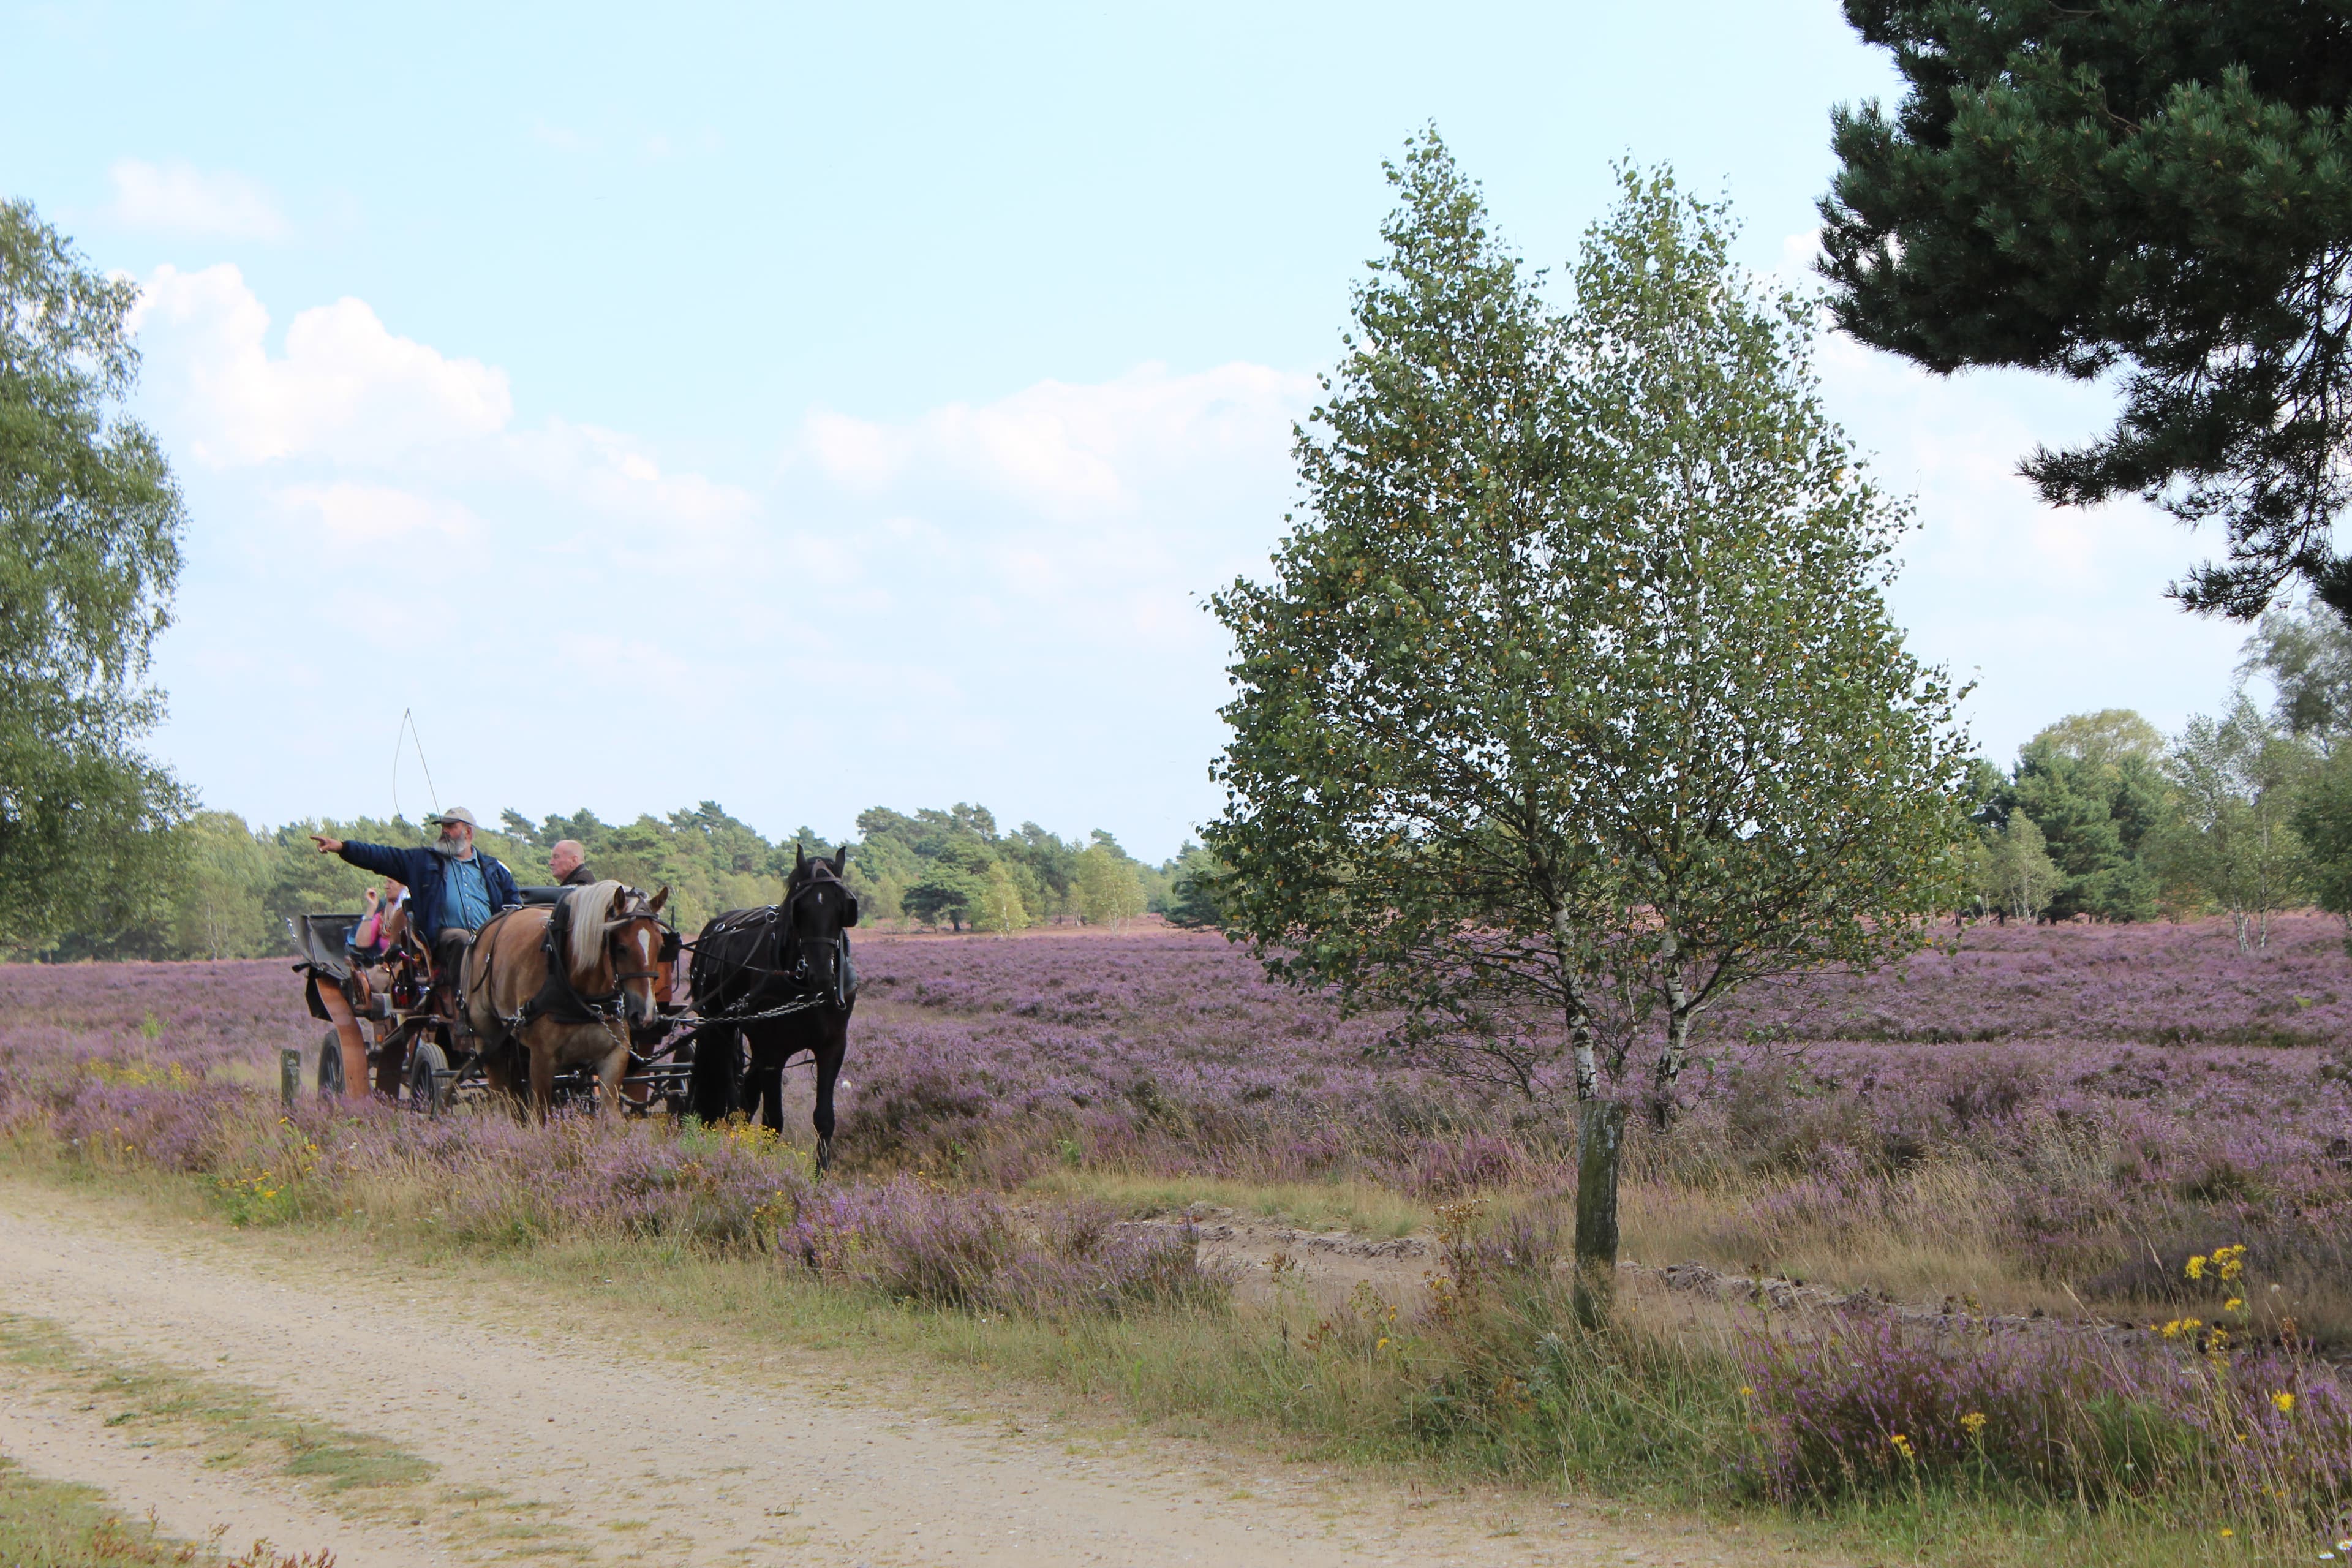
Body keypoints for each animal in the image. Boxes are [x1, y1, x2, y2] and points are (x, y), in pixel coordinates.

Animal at [466, 884, 673, 1114]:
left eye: (661, 945)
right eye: (621, 948)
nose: (645, 1015)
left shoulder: (614, 1057)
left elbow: (611, 1115)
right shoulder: (542, 1059)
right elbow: (541, 1114)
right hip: (489, 1040)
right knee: (501, 1096)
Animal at [687, 846, 861, 1166]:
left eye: (842, 907)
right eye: (800, 908)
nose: (822, 975)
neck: (804, 989)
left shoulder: (832, 1047)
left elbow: (824, 1120)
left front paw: (820, 1174)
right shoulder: (772, 1052)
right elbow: (772, 1122)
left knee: (745, 1096)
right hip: (718, 1029)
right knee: (730, 1095)